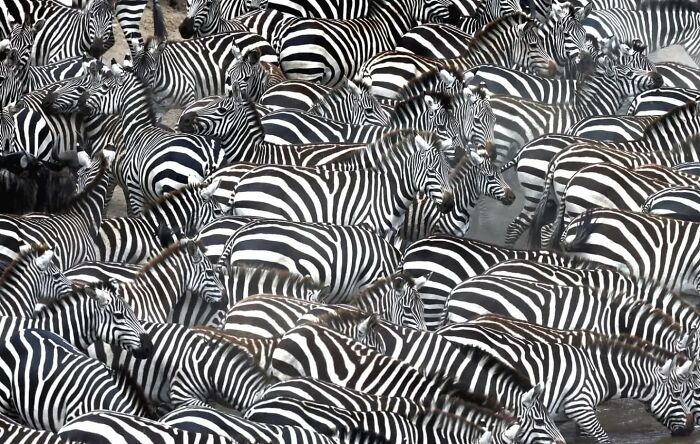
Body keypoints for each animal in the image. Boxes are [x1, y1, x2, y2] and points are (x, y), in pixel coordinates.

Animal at [230, 132, 454, 241]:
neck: (386, 192)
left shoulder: (390, 234)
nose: (449, 204)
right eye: (431, 171)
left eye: (448, 170)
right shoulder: (368, 226)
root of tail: (243, 180)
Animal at [436, 317, 696, 440]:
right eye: (677, 394)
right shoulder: (579, 405)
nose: (690, 429)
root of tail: (444, 330)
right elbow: (603, 438)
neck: (598, 371)